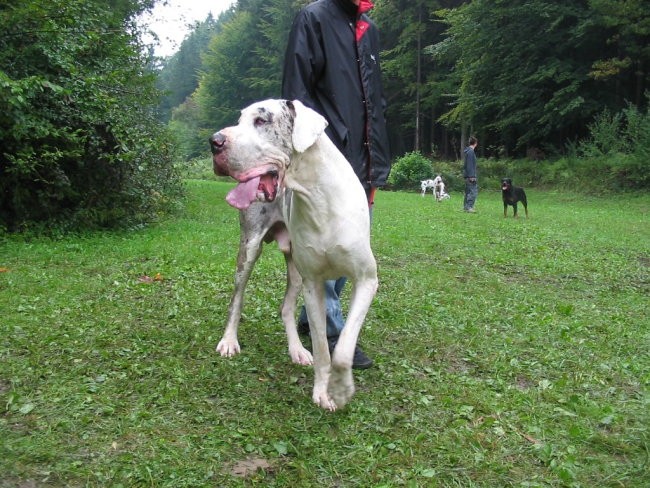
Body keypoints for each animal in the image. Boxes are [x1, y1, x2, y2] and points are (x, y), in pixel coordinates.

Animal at [210, 100, 378, 412]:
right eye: (239, 119)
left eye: (261, 120)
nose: (214, 142)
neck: (319, 198)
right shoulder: (314, 286)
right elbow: (323, 349)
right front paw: (325, 391)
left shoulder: (366, 280)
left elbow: (344, 346)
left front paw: (341, 388)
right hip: (250, 249)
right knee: (236, 299)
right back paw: (229, 340)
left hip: (297, 270)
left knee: (286, 308)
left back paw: (297, 350)